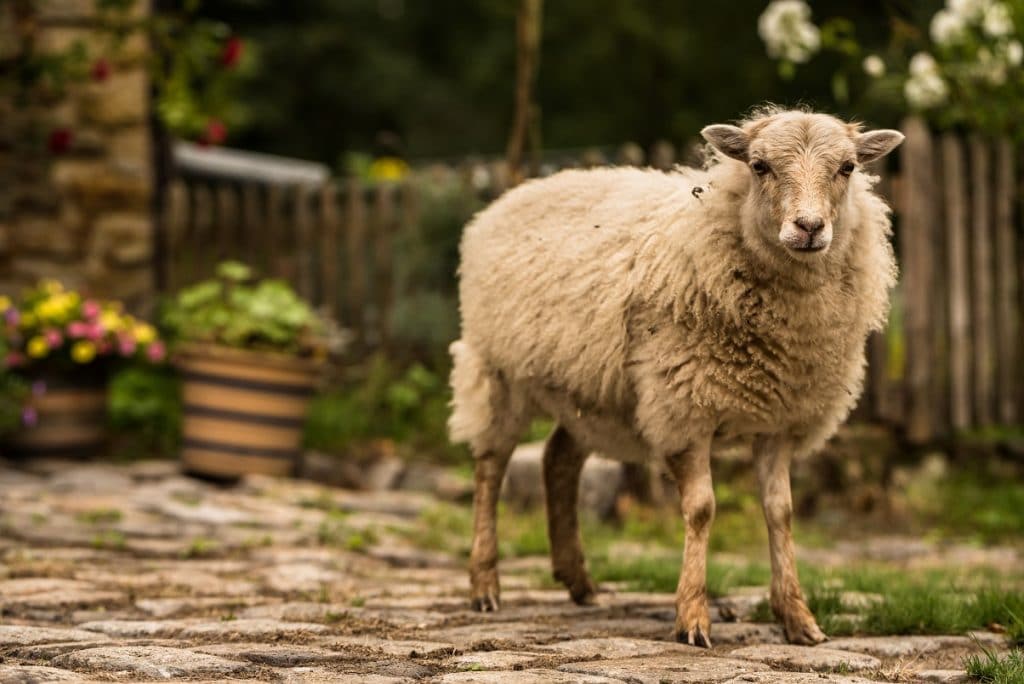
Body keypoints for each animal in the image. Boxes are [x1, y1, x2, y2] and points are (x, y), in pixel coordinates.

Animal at [448, 107, 905, 647]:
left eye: (848, 168)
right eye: (759, 166)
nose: (810, 227)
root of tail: (509, 197)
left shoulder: (779, 419)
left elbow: (781, 512)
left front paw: (797, 617)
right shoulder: (683, 406)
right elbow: (702, 509)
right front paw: (692, 617)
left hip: (590, 392)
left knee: (558, 459)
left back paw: (578, 579)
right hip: (497, 372)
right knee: (490, 470)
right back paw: (485, 584)